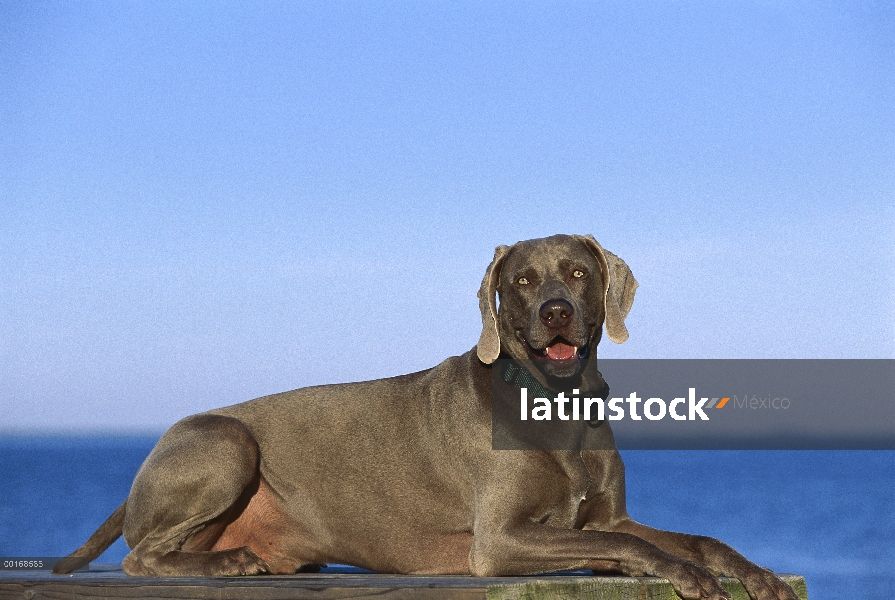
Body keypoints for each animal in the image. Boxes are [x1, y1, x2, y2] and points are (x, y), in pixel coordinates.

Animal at [56, 234, 800, 600]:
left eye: (578, 272)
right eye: (521, 281)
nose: (555, 311)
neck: (555, 401)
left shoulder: (605, 518)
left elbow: (688, 537)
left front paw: (752, 572)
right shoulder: (497, 540)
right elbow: (639, 548)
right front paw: (681, 574)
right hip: (226, 440)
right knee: (141, 557)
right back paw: (230, 563)